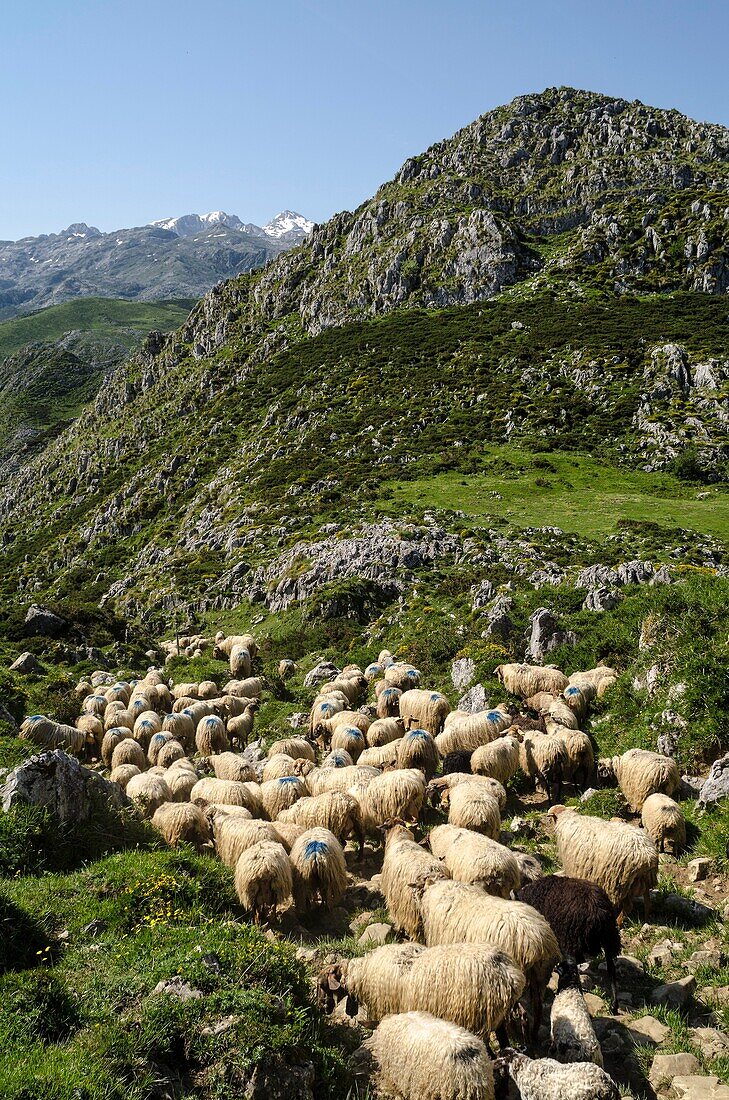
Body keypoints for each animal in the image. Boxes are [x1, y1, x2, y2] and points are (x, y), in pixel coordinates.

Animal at [518, 875, 620, 1012]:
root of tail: (598, 911)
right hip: (610, 937)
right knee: (611, 968)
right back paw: (614, 1005)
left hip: (571, 938)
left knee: (576, 962)